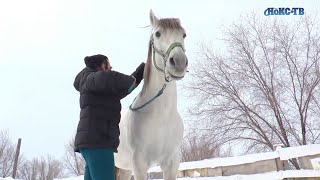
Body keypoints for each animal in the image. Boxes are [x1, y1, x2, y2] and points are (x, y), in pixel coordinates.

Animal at [115, 10, 189, 180]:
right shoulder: (139, 164)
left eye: (183, 34)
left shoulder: (171, 162)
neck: (161, 117)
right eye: (158, 34)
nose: (179, 62)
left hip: (125, 169)